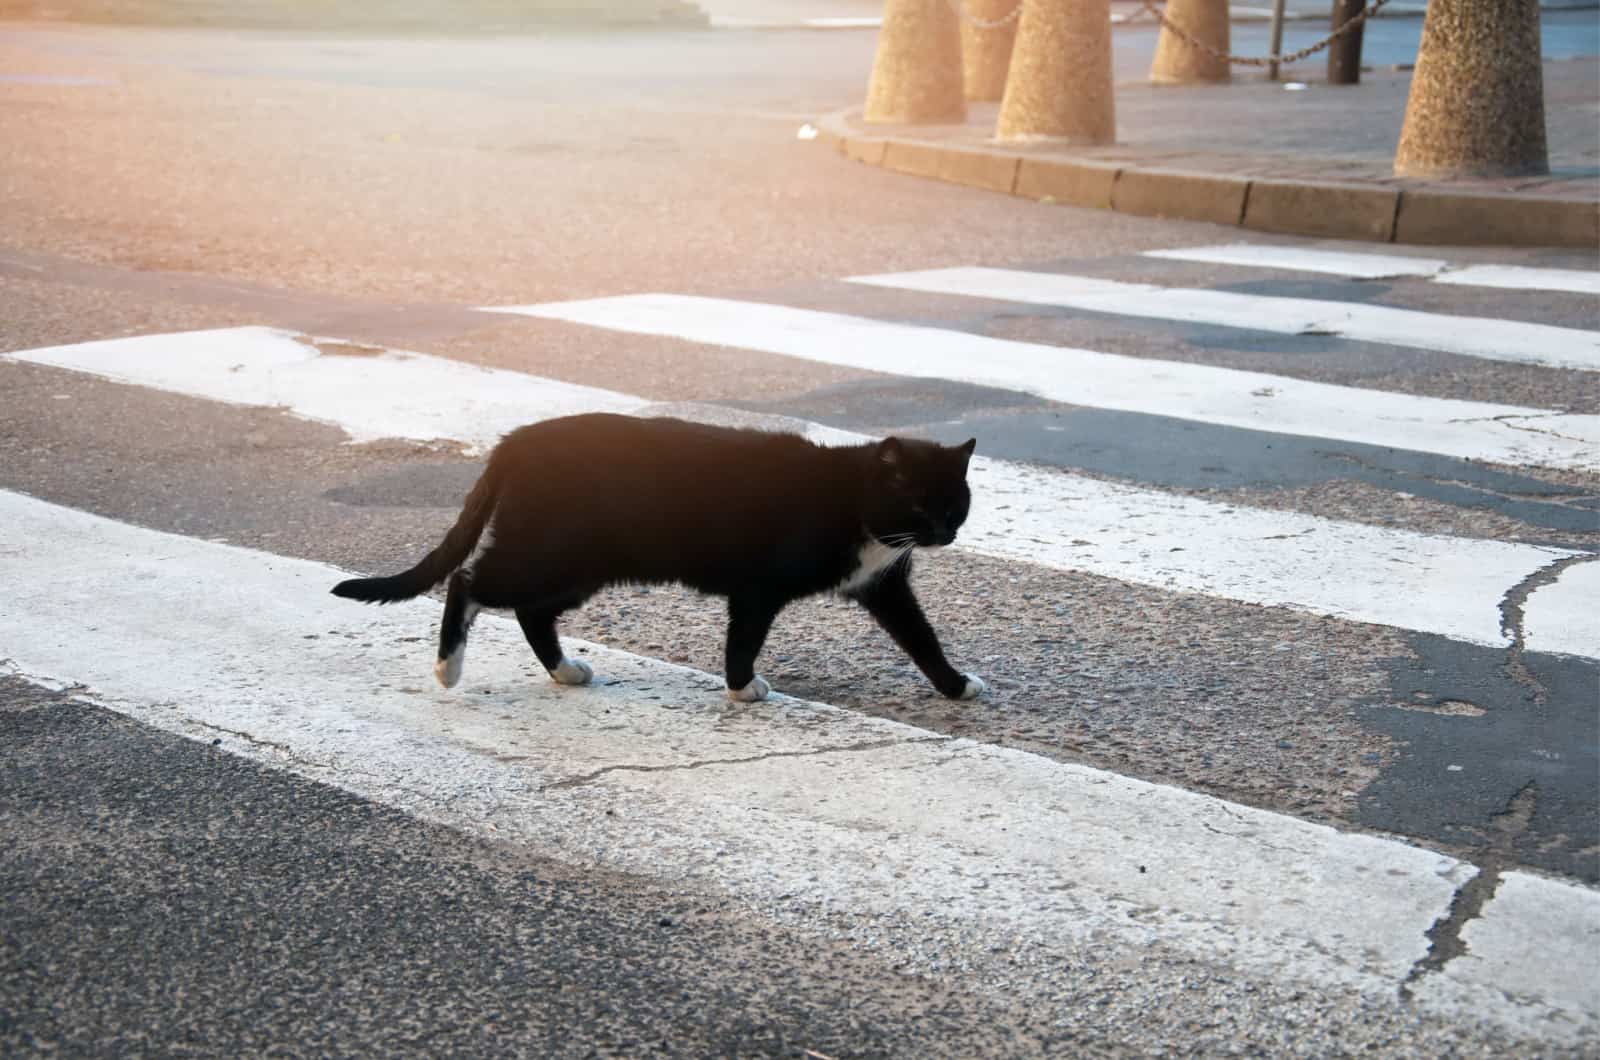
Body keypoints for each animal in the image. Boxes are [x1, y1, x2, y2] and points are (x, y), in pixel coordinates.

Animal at [334, 416, 985, 704]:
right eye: (918, 504)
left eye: (956, 504)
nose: (945, 535)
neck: (853, 498)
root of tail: (517, 439)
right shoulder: (759, 586)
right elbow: (744, 638)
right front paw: (742, 689)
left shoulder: (884, 584)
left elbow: (921, 636)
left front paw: (955, 686)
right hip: (552, 553)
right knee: (469, 581)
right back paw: (449, 668)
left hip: (579, 566)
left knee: (531, 612)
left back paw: (565, 672)